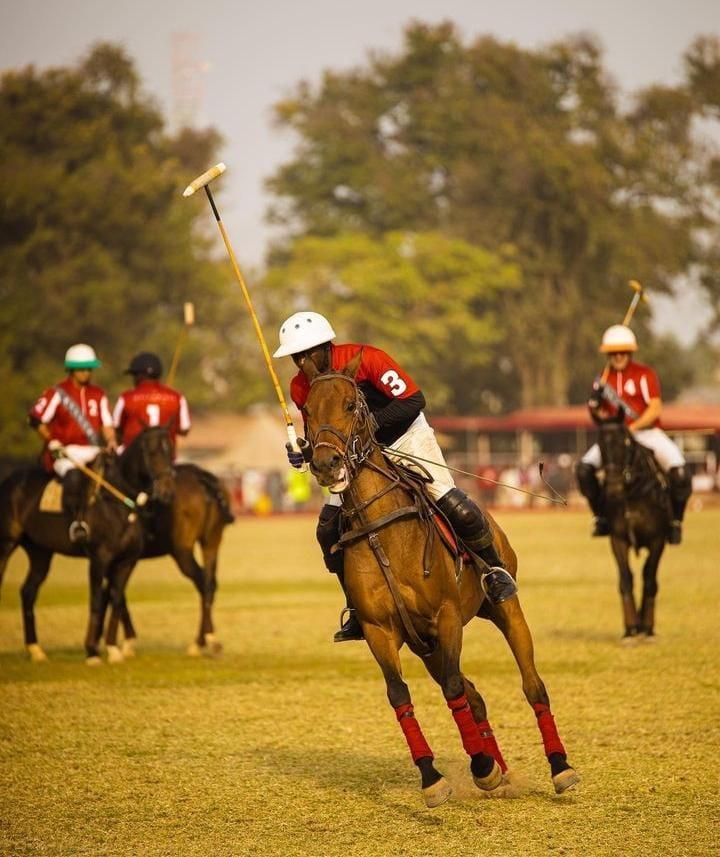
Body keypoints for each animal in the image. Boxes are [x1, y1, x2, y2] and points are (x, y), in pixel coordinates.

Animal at [302, 352, 580, 804]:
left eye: (350, 404)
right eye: (306, 410)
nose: (327, 465)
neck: (381, 527)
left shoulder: (447, 617)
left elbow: (452, 689)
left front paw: (480, 766)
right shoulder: (381, 630)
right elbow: (400, 694)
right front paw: (434, 777)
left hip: (504, 609)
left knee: (531, 684)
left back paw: (559, 766)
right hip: (425, 646)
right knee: (476, 696)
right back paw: (500, 770)